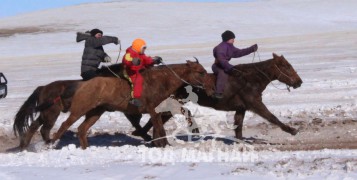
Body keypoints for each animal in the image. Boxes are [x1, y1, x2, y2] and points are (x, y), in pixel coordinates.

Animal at [49, 61, 211, 148]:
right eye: (200, 72)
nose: (209, 87)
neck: (161, 82)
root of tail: (82, 85)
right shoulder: (153, 110)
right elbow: (159, 129)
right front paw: (163, 144)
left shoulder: (160, 111)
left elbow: (160, 126)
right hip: (80, 108)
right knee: (65, 124)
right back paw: (50, 143)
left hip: (95, 112)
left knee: (82, 129)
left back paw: (86, 148)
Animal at [135, 53, 302, 141]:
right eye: (286, 66)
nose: (299, 82)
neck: (251, 80)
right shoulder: (256, 105)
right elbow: (272, 118)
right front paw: (292, 130)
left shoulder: (241, 108)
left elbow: (238, 126)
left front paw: (240, 141)